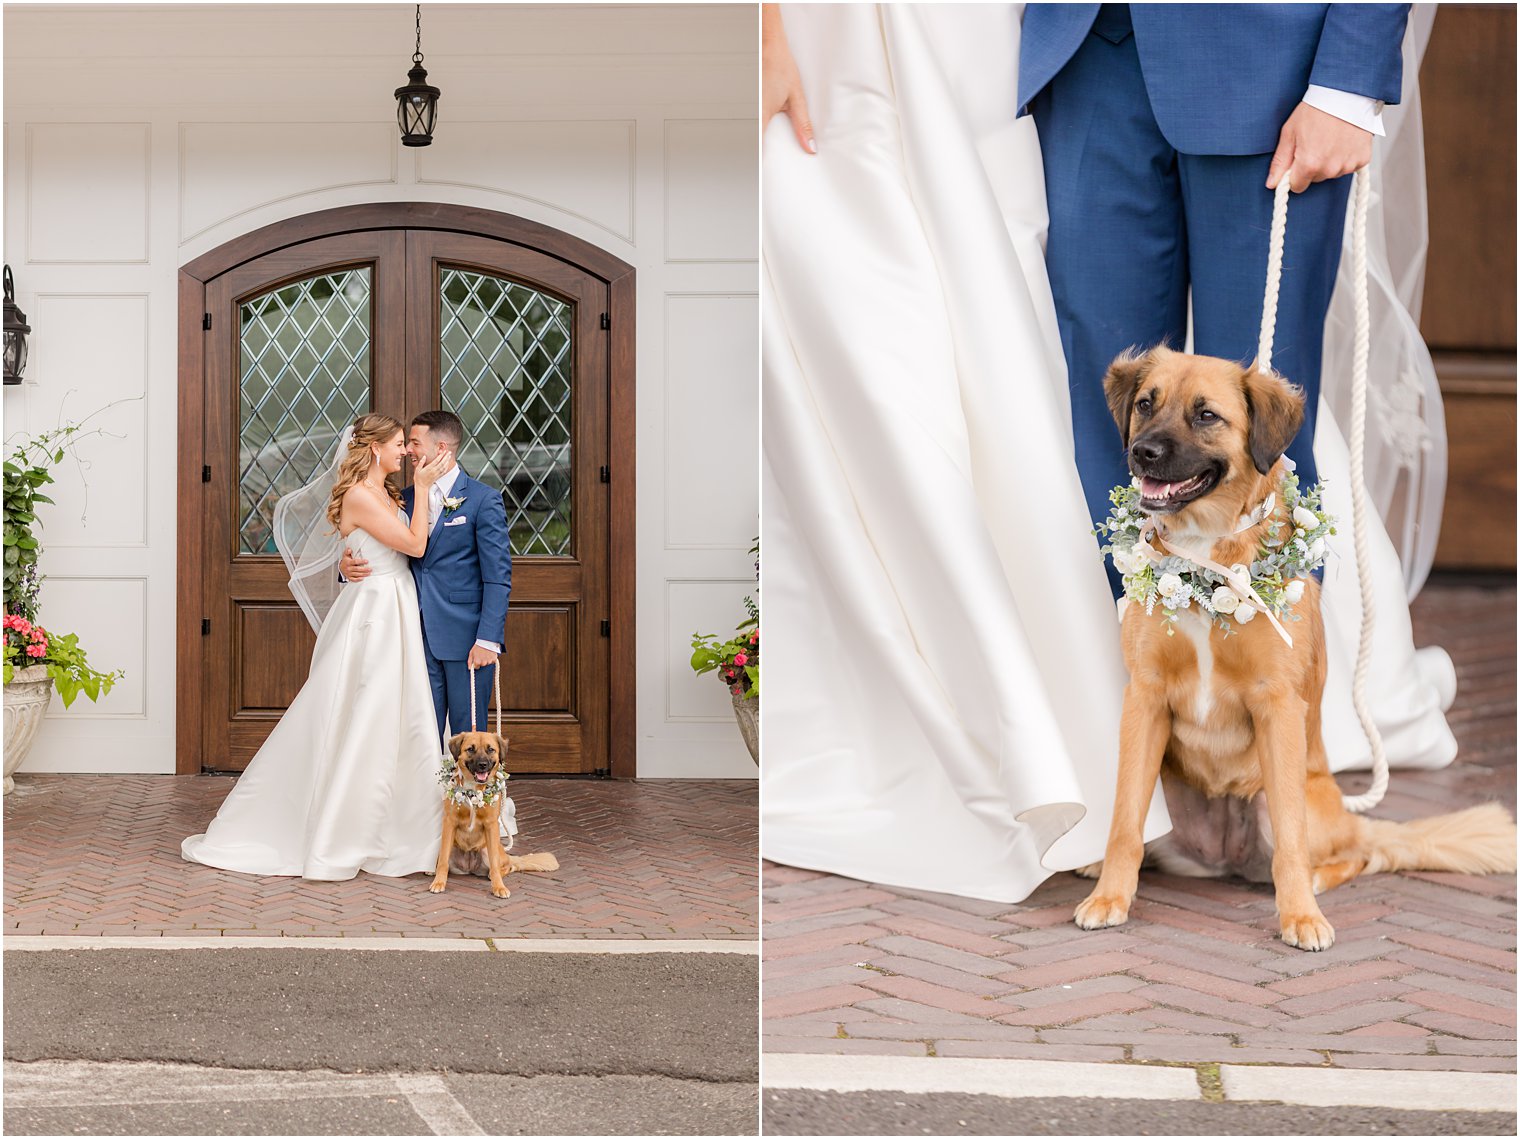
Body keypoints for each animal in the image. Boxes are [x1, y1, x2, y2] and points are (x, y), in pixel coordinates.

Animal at [431, 729, 562, 900]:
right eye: (470, 749)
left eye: (490, 749)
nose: (482, 765)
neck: (473, 793)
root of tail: (469, 867)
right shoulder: (449, 822)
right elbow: (443, 861)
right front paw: (439, 882)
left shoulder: (491, 825)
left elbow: (494, 864)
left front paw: (499, 887)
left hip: (487, 849)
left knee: (508, 866)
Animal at [1076, 346, 1513, 948]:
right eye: (1146, 404)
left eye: (1206, 415)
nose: (1142, 453)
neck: (1204, 559)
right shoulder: (1145, 699)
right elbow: (1124, 822)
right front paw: (1109, 898)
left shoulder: (1276, 705)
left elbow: (1289, 838)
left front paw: (1301, 915)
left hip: (1294, 799)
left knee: (1353, 854)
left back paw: (1318, 881)